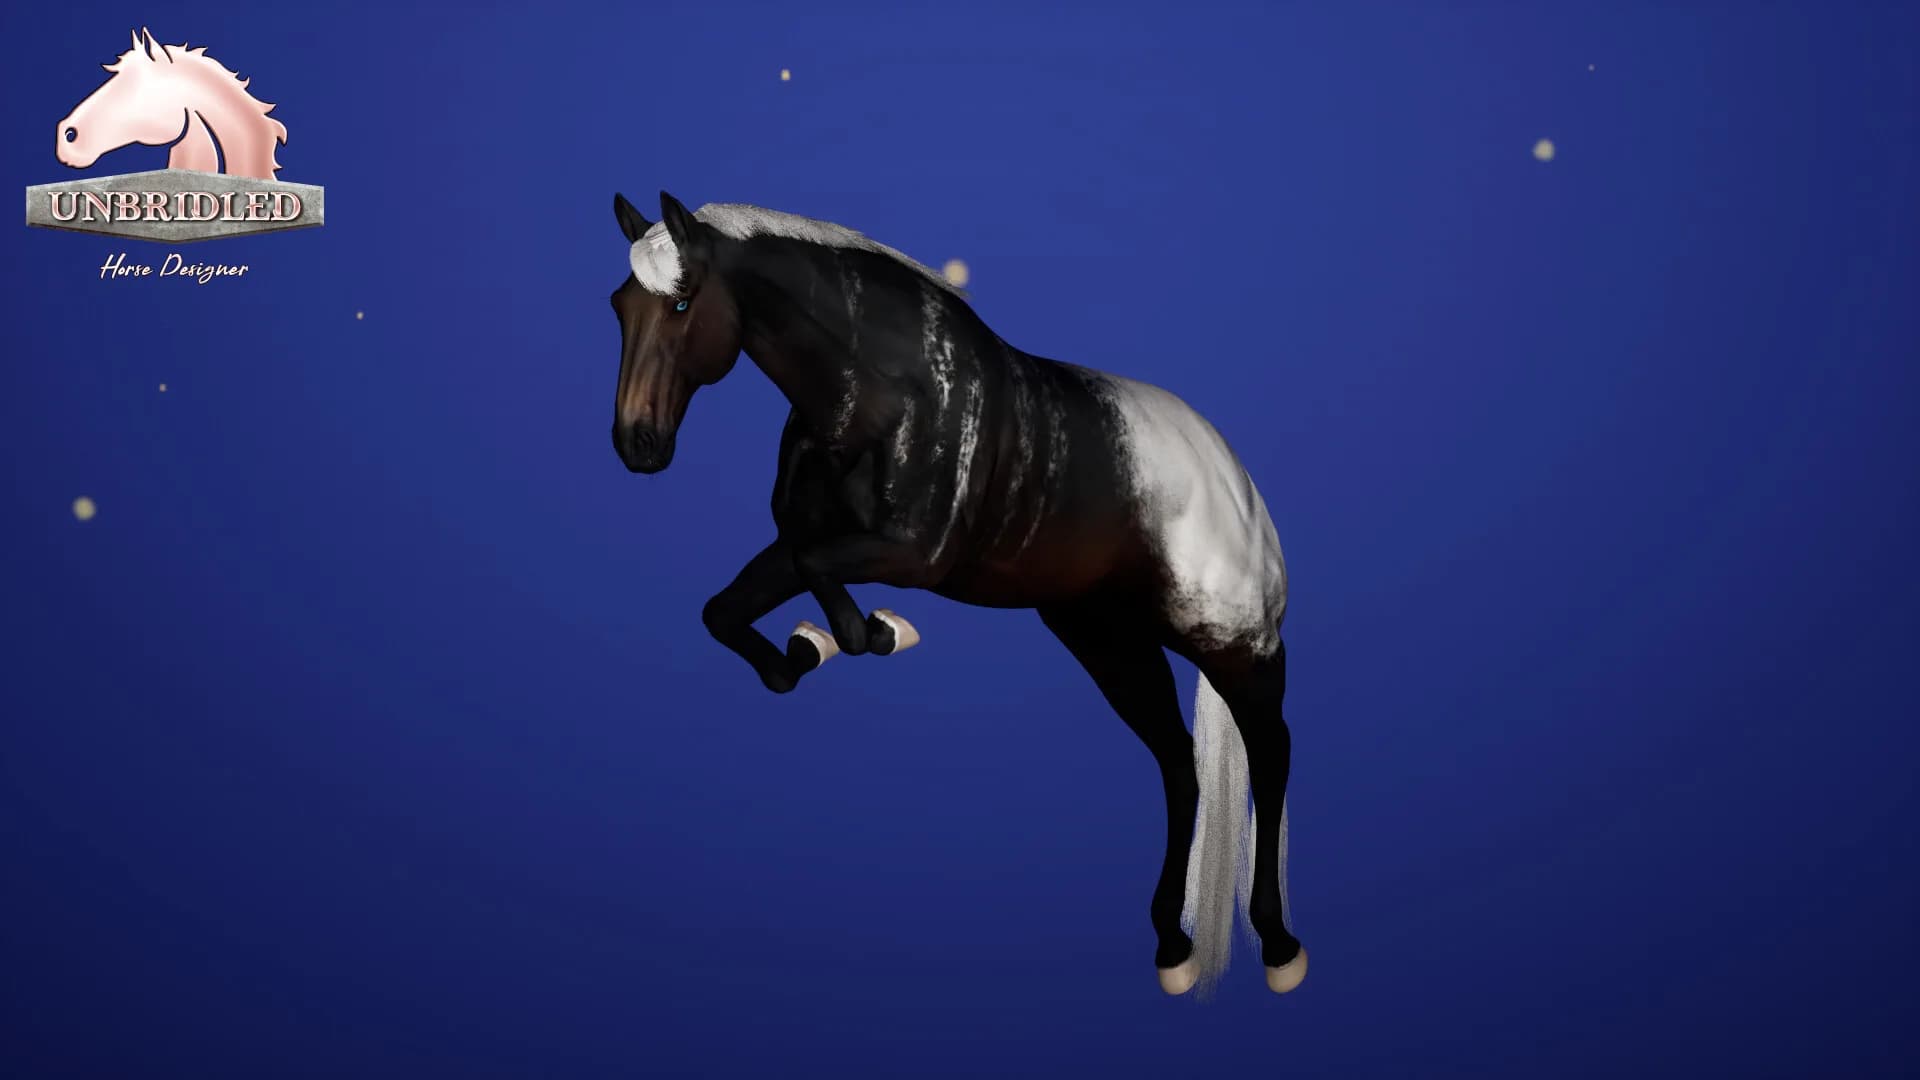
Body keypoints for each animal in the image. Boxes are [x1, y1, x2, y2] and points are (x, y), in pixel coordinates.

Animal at [607, 191, 1306, 998]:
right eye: (620, 305)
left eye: (683, 301)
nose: (637, 445)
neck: (884, 394)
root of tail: (1236, 484)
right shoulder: (798, 546)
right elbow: (726, 610)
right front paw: (804, 649)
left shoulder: (914, 556)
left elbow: (832, 596)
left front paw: (875, 632)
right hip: (1110, 642)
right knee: (1179, 765)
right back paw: (1172, 946)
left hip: (1228, 642)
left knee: (1271, 754)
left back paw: (1280, 946)